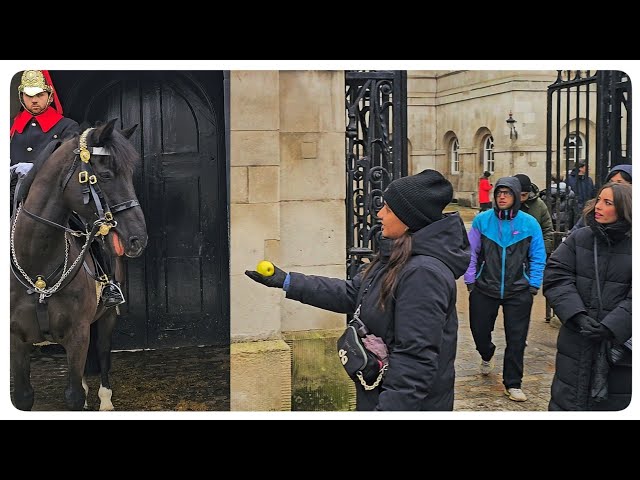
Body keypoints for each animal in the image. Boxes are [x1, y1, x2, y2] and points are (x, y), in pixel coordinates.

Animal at [11, 120, 148, 408]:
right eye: (106, 175)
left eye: (130, 175)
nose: (138, 238)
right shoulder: (16, 340)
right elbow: (23, 397)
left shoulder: (78, 334)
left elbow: (73, 395)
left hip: (106, 317)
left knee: (103, 352)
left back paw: (105, 400)